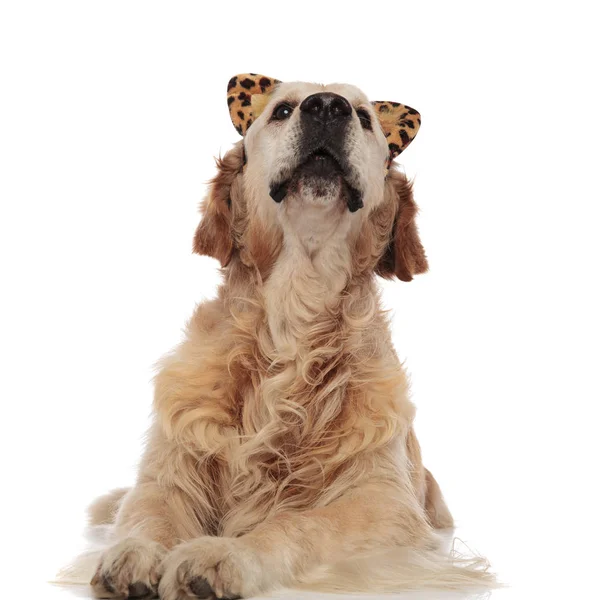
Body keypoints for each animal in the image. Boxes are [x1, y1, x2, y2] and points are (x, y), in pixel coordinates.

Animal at [70, 75, 492, 600]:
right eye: (282, 110)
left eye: (364, 116)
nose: (327, 107)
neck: (297, 305)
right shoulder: (170, 467)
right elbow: (152, 512)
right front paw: (134, 553)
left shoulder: (385, 504)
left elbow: (298, 524)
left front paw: (225, 554)